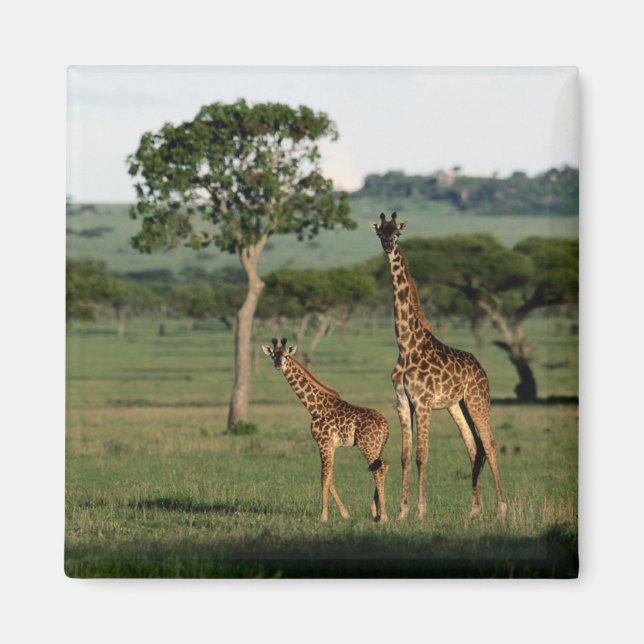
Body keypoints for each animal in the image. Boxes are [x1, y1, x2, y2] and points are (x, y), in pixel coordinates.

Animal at [262, 337, 390, 522]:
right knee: (383, 466)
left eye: (286, 355)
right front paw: (345, 514)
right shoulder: (331, 445)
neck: (314, 407)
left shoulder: (323, 442)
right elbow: (329, 477)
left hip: (367, 446)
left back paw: (384, 516)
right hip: (378, 446)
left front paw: (323, 516)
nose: (278, 364)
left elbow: (324, 477)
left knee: (378, 470)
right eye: (273, 355)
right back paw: (376, 512)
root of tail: (386, 426)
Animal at [370, 212, 507, 520]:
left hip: (478, 400)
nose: (388, 246)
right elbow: (405, 455)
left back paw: (502, 508)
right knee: (474, 446)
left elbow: (422, 456)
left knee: (490, 444)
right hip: (457, 405)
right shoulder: (402, 402)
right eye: (380, 232)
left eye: (397, 233)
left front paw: (420, 511)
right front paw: (402, 511)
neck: (406, 345)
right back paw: (474, 510)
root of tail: (481, 369)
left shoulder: (422, 402)